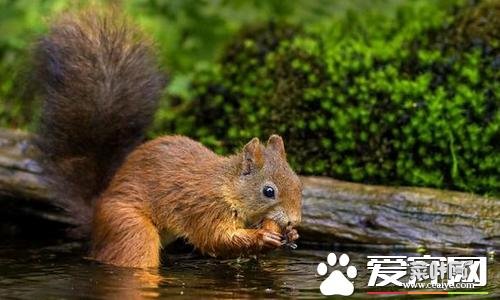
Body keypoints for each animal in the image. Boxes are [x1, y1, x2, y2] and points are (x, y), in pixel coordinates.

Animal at [35, 10, 302, 268]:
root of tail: (96, 217)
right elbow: (216, 239)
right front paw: (262, 236)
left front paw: (291, 234)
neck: (227, 187)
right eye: (268, 191)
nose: (294, 220)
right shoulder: (205, 209)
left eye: (299, 183)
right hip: (130, 228)